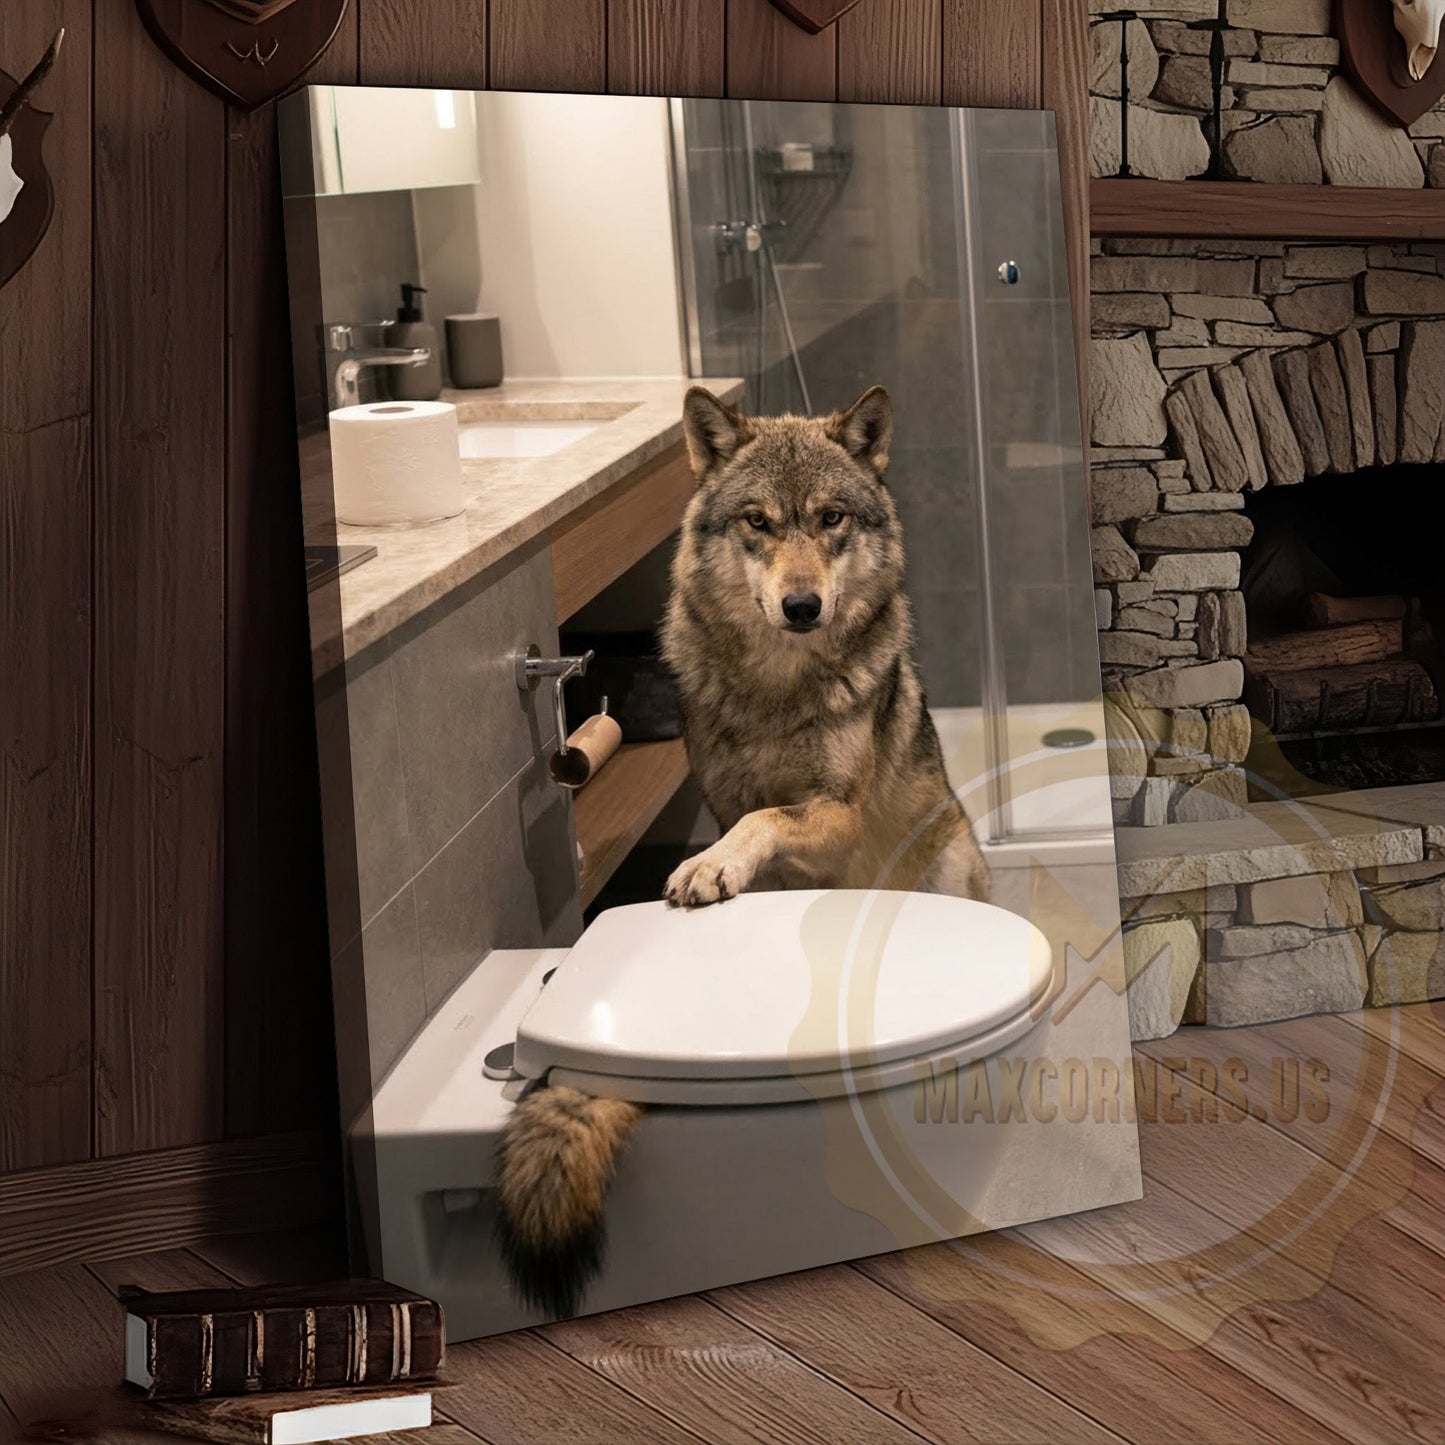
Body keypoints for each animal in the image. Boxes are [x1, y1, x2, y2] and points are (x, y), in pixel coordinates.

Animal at [494, 384, 989, 1318]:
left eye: (830, 518)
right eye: (758, 522)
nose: (802, 606)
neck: (775, 689)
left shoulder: (835, 813)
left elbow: (763, 822)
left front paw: (705, 865)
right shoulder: (727, 794)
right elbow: (748, 820)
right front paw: (711, 868)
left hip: (947, 859)